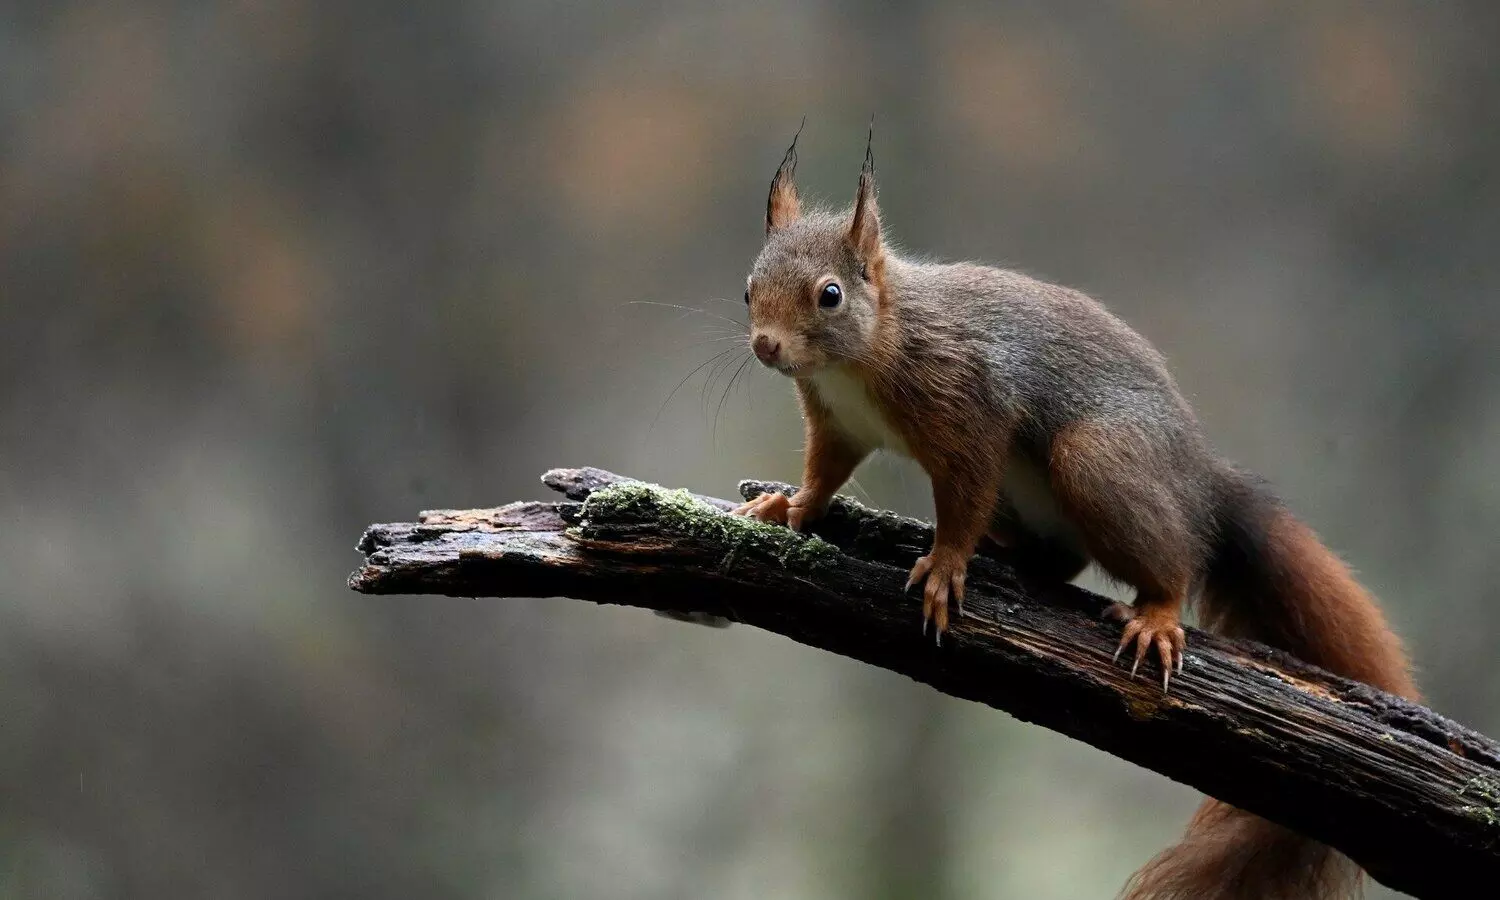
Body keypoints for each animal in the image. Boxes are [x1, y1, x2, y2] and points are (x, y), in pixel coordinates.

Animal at [731, 126, 1418, 900]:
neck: (870, 348)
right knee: (1060, 558)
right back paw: (1010, 553)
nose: (766, 345)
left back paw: (1155, 613)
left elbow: (962, 496)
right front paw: (789, 503)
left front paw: (945, 565)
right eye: (749, 287)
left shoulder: (968, 410)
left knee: (1172, 559)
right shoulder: (838, 423)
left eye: (830, 295)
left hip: (1097, 462)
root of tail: (1199, 481)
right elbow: (824, 474)